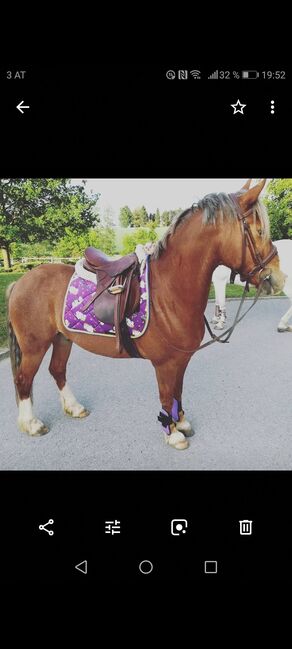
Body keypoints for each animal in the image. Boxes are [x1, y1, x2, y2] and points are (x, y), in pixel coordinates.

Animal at [6, 180, 286, 448]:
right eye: (260, 231)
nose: (278, 278)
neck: (169, 290)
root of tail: (19, 282)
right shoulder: (164, 363)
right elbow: (166, 396)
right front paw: (172, 435)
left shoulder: (180, 360)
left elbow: (177, 392)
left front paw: (181, 423)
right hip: (34, 346)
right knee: (23, 379)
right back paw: (31, 424)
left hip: (62, 338)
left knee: (57, 371)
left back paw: (74, 408)